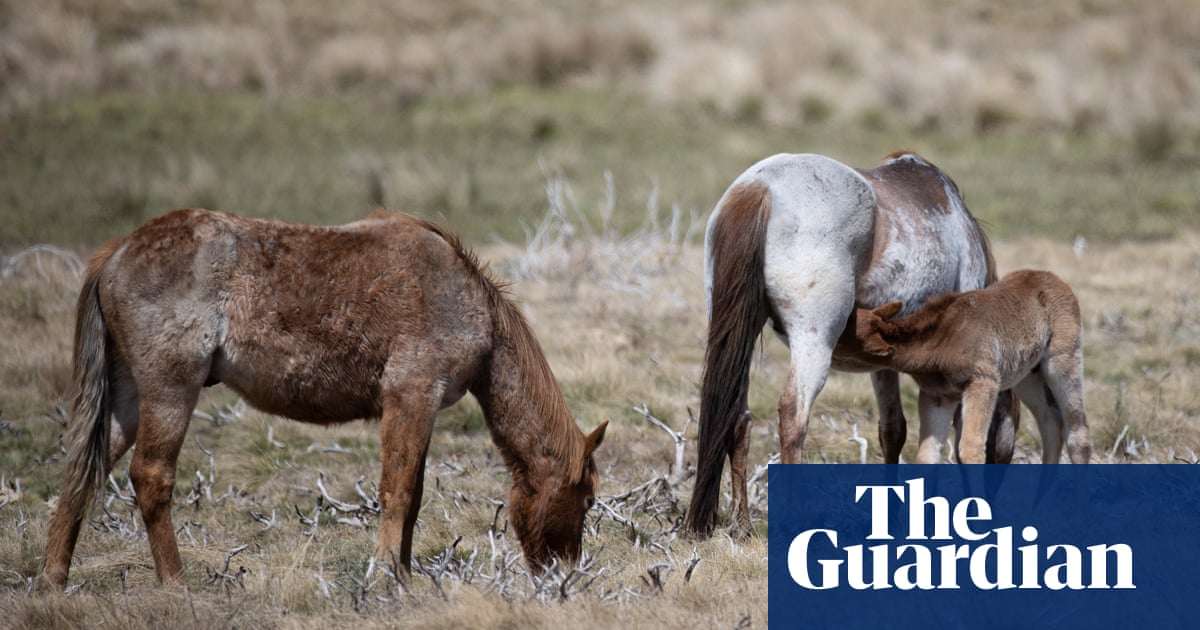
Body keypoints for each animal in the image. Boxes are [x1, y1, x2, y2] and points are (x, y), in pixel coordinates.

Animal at [37, 208, 609, 592]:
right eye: (587, 499)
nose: (562, 575)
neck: (466, 302)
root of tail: (116, 252)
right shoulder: (410, 399)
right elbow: (398, 492)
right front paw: (384, 577)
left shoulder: (418, 409)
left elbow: (413, 497)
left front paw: (404, 579)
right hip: (169, 392)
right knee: (151, 478)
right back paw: (177, 584)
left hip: (129, 400)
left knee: (83, 469)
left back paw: (53, 580)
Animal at [686, 148, 1012, 535]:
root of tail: (760, 185)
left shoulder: (884, 363)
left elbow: (893, 430)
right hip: (814, 343)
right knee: (793, 416)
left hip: (743, 334)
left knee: (738, 418)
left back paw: (743, 523)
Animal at [849, 267, 1094, 463]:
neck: (944, 336)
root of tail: (1055, 279)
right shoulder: (938, 396)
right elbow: (928, 454)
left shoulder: (983, 383)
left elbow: (970, 449)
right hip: (1027, 377)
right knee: (1051, 424)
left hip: (1062, 362)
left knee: (1078, 434)